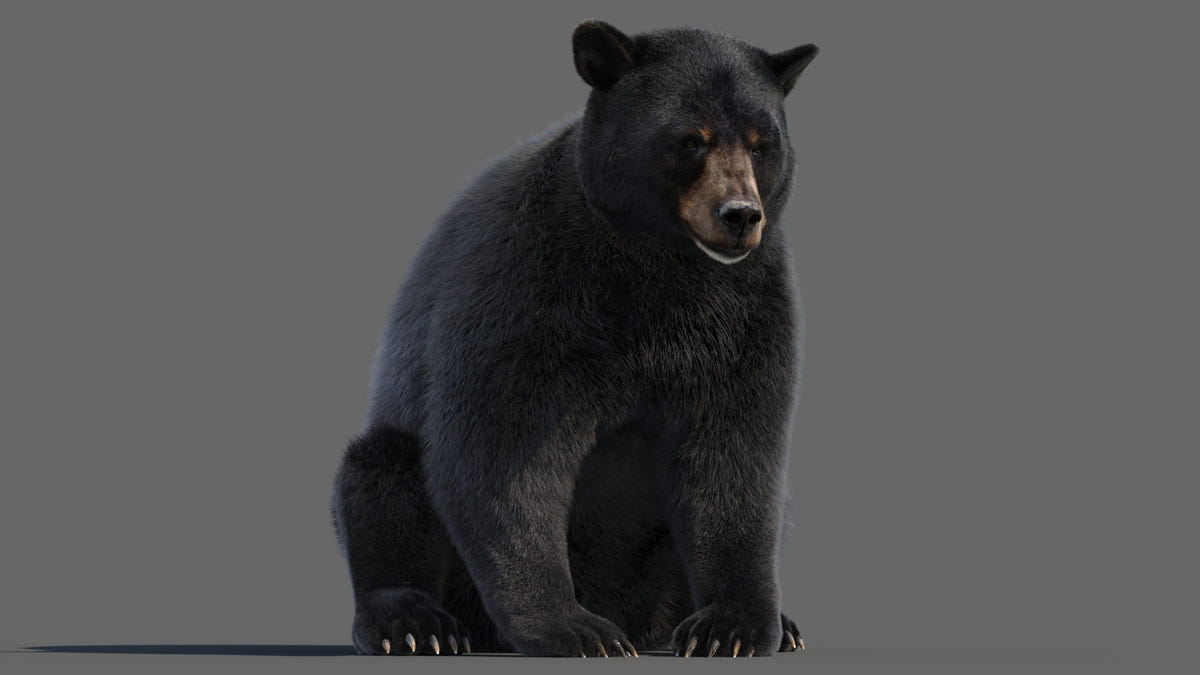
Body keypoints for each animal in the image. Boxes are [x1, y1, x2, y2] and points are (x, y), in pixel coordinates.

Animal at [331, 20, 818, 658]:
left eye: (762, 143)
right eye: (691, 139)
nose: (740, 214)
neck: (658, 260)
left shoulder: (746, 309)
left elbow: (734, 457)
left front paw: (731, 628)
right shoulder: (530, 283)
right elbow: (501, 451)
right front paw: (575, 628)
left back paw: (779, 625)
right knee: (381, 477)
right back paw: (415, 624)